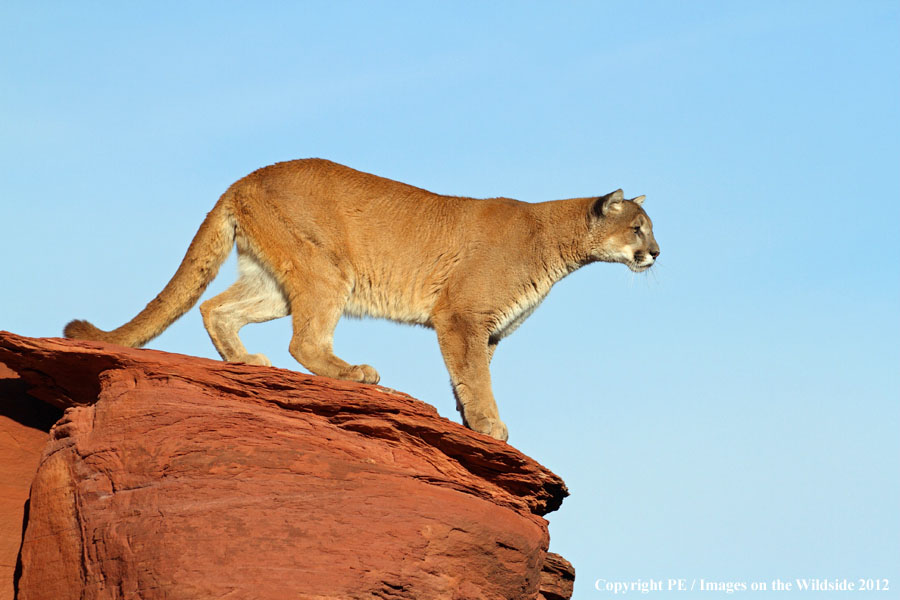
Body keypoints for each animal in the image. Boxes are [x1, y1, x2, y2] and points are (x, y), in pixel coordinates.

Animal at [61, 159, 652, 440]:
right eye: (638, 228)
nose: (657, 253)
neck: (557, 243)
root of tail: (246, 177)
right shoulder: (462, 318)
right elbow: (475, 378)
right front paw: (490, 426)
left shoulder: (486, 332)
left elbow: (467, 378)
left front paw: (472, 422)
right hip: (328, 271)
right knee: (303, 342)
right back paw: (353, 373)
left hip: (277, 279)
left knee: (215, 307)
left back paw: (245, 361)